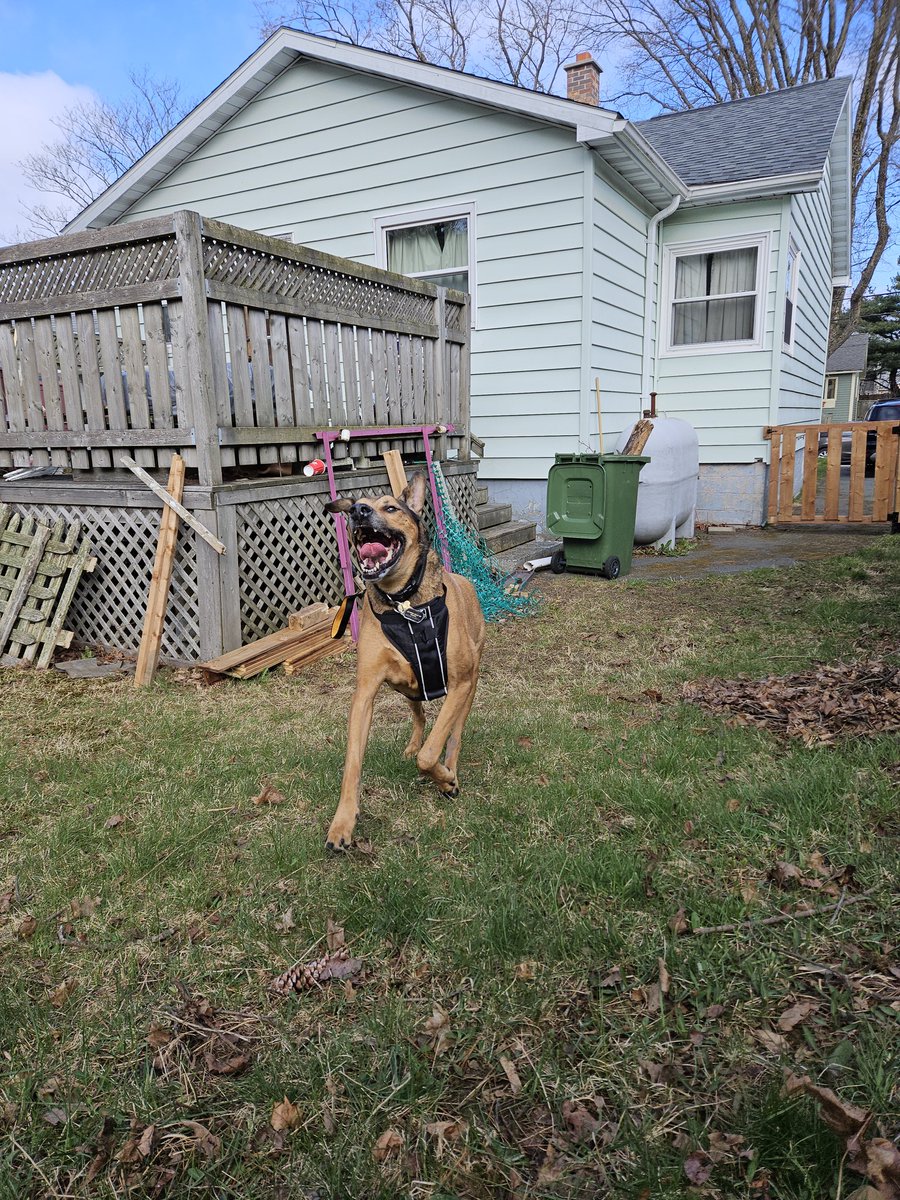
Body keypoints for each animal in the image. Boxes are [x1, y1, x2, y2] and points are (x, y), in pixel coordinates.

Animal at [321, 472, 482, 849]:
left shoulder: (461, 682)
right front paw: (342, 823)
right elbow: (352, 762)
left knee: (454, 734)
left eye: (390, 508)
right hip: (405, 686)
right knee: (420, 714)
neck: (404, 603)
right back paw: (413, 745)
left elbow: (431, 753)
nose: (359, 513)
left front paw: (444, 777)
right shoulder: (365, 691)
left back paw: (449, 772)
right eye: (355, 507)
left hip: (469, 684)